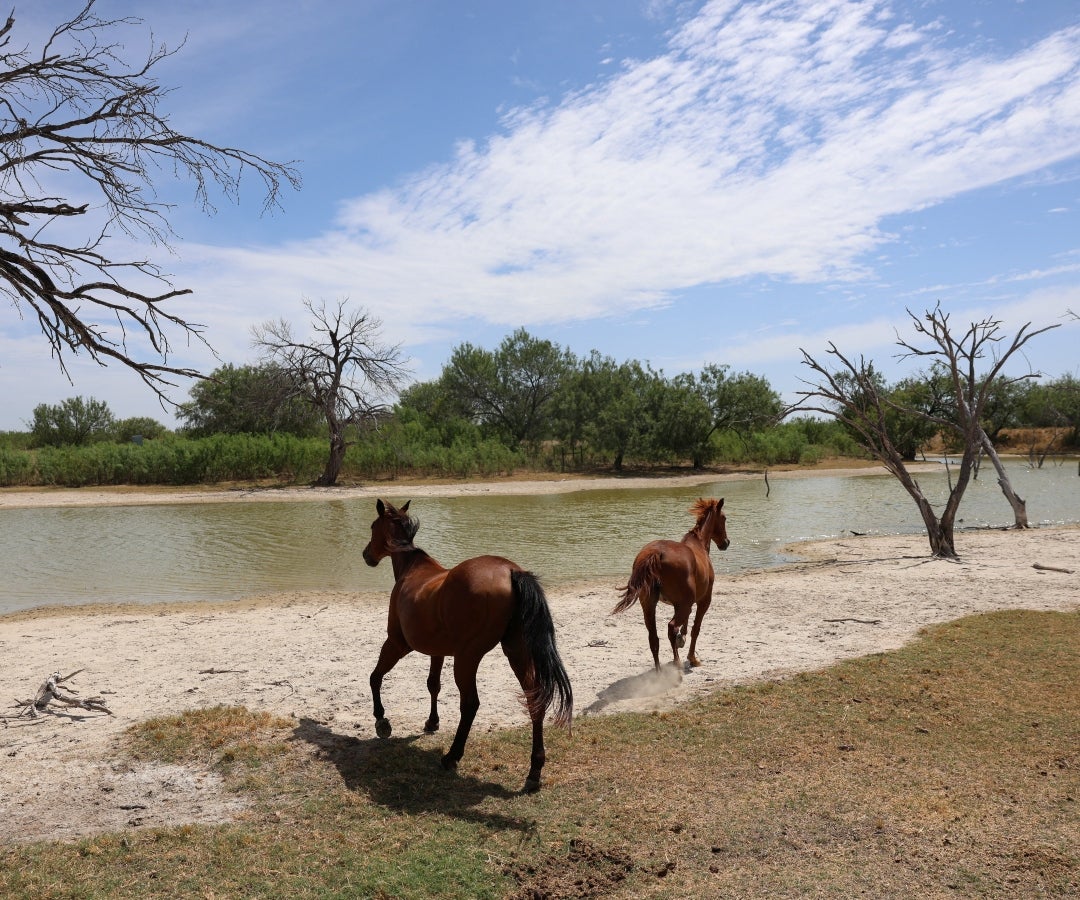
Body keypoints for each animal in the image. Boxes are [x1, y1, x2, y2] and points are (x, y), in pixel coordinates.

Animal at [361, 499, 573, 793]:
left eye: (372, 526)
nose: (366, 555)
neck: (413, 569)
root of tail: (511, 571)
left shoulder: (396, 643)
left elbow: (376, 677)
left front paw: (381, 720)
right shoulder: (437, 651)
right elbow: (433, 685)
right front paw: (432, 721)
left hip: (467, 657)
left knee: (470, 703)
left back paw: (452, 757)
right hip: (516, 652)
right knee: (535, 699)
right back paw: (534, 772)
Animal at [611, 498, 730, 672]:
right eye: (724, 518)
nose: (726, 543)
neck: (699, 543)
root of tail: (656, 554)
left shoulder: (679, 605)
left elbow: (685, 626)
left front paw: (682, 639)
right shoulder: (703, 601)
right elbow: (695, 629)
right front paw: (692, 658)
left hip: (649, 605)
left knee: (653, 637)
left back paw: (659, 671)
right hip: (684, 604)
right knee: (671, 627)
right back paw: (677, 662)